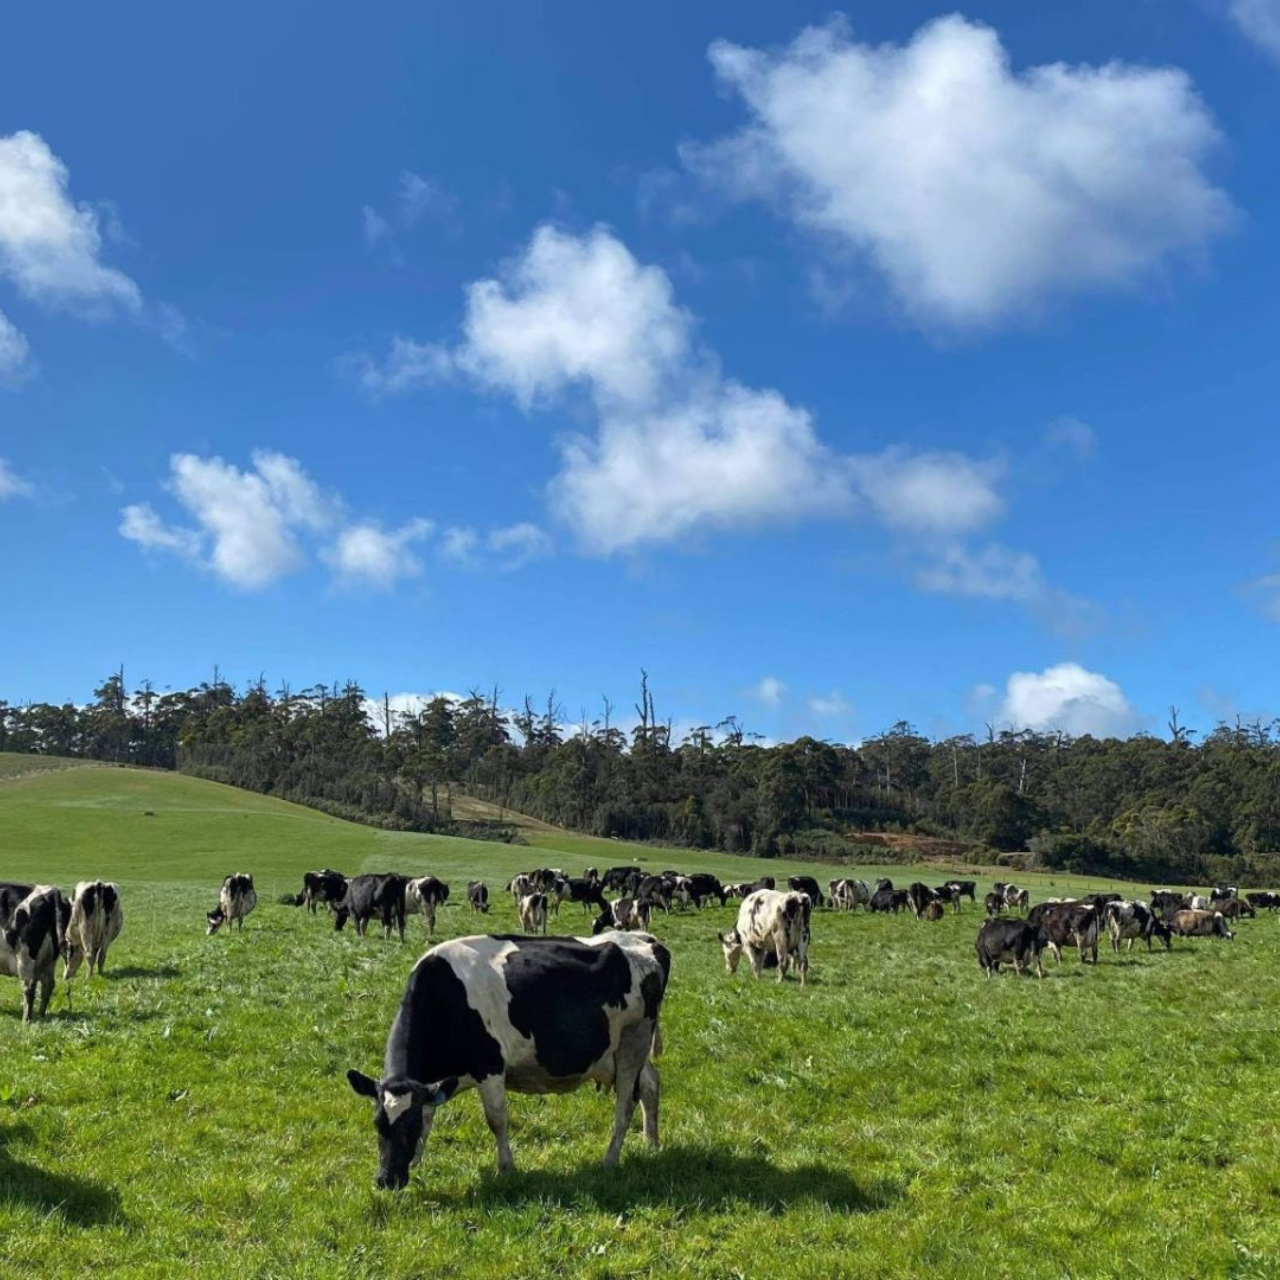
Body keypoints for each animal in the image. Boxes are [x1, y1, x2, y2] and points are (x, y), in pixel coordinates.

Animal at [0, 890, 69, 1018]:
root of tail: (50, 892)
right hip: (50, 959)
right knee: (48, 984)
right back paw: (41, 1014)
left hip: (25, 956)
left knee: (29, 987)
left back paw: (26, 1019)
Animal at [350, 931, 670, 1187]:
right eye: (377, 1123)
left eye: (409, 1125)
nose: (387, 1180)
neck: (446, 996)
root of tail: (644, 938)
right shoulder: (432, 1083)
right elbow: (430, 1112)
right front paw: (416, 1160)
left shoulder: (490, 1066)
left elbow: (496, 1120)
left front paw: (506, 1168)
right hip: (624, 1051)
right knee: (651, 1084)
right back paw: (651, 1143)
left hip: (633, 1041)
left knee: (625, 1104)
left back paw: (610, 1159)